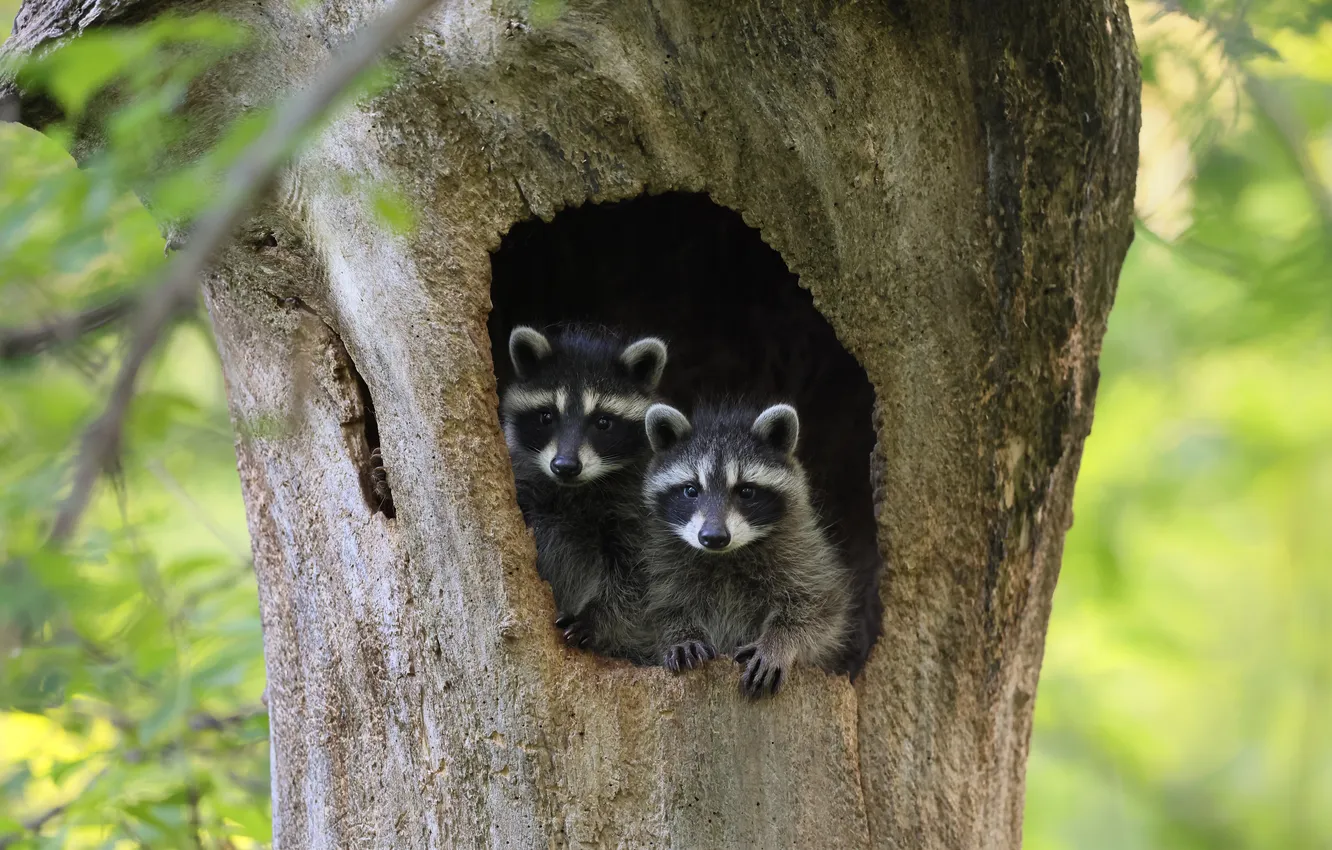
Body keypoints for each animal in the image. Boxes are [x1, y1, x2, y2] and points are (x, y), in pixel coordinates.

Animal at [500, 323, 667, 662]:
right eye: (547, 416)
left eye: (603, 422)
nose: (565, 466)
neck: (574, 489)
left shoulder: (638, 510)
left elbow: (639, 577)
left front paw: (597, 619)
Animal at [641, 401, 851, 698]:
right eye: (691, 490)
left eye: (746, 491)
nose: (713, 537)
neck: (725, 556)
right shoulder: (660, 557)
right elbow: (659, 608)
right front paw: (679, 633)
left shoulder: (804, 551)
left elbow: (818, 608)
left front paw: (779, 641)